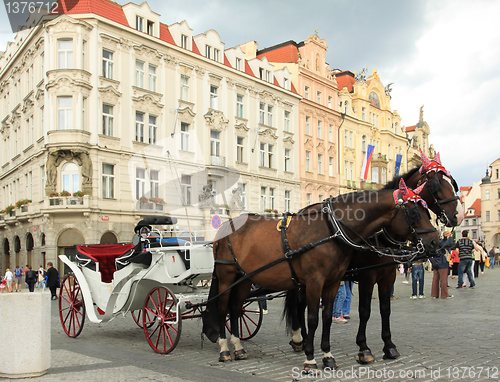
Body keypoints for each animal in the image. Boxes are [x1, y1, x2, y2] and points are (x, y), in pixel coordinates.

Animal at [202, 181, 438, 372]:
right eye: (415, 212)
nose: (436, 242)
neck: (332, 228)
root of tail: (226, 225)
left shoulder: (333, 282)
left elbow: (327, 317)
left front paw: (327, 356)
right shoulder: (318, 282)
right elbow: (314, 318)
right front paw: (311, 359)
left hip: (245, 278)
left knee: (235, 308)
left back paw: (239, 348)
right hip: (226, 275)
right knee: (222, 308)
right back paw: (225, 350)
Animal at [286, 151, 460, 364]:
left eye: (452, 183)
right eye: (436, 184)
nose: (456, 216)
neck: (381, 233)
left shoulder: (388, 276)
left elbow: (385, 309)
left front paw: (389, 345)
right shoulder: (367, 277)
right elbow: (365, 311)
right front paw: (364, 348)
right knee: (300, 304)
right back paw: (300, 339)